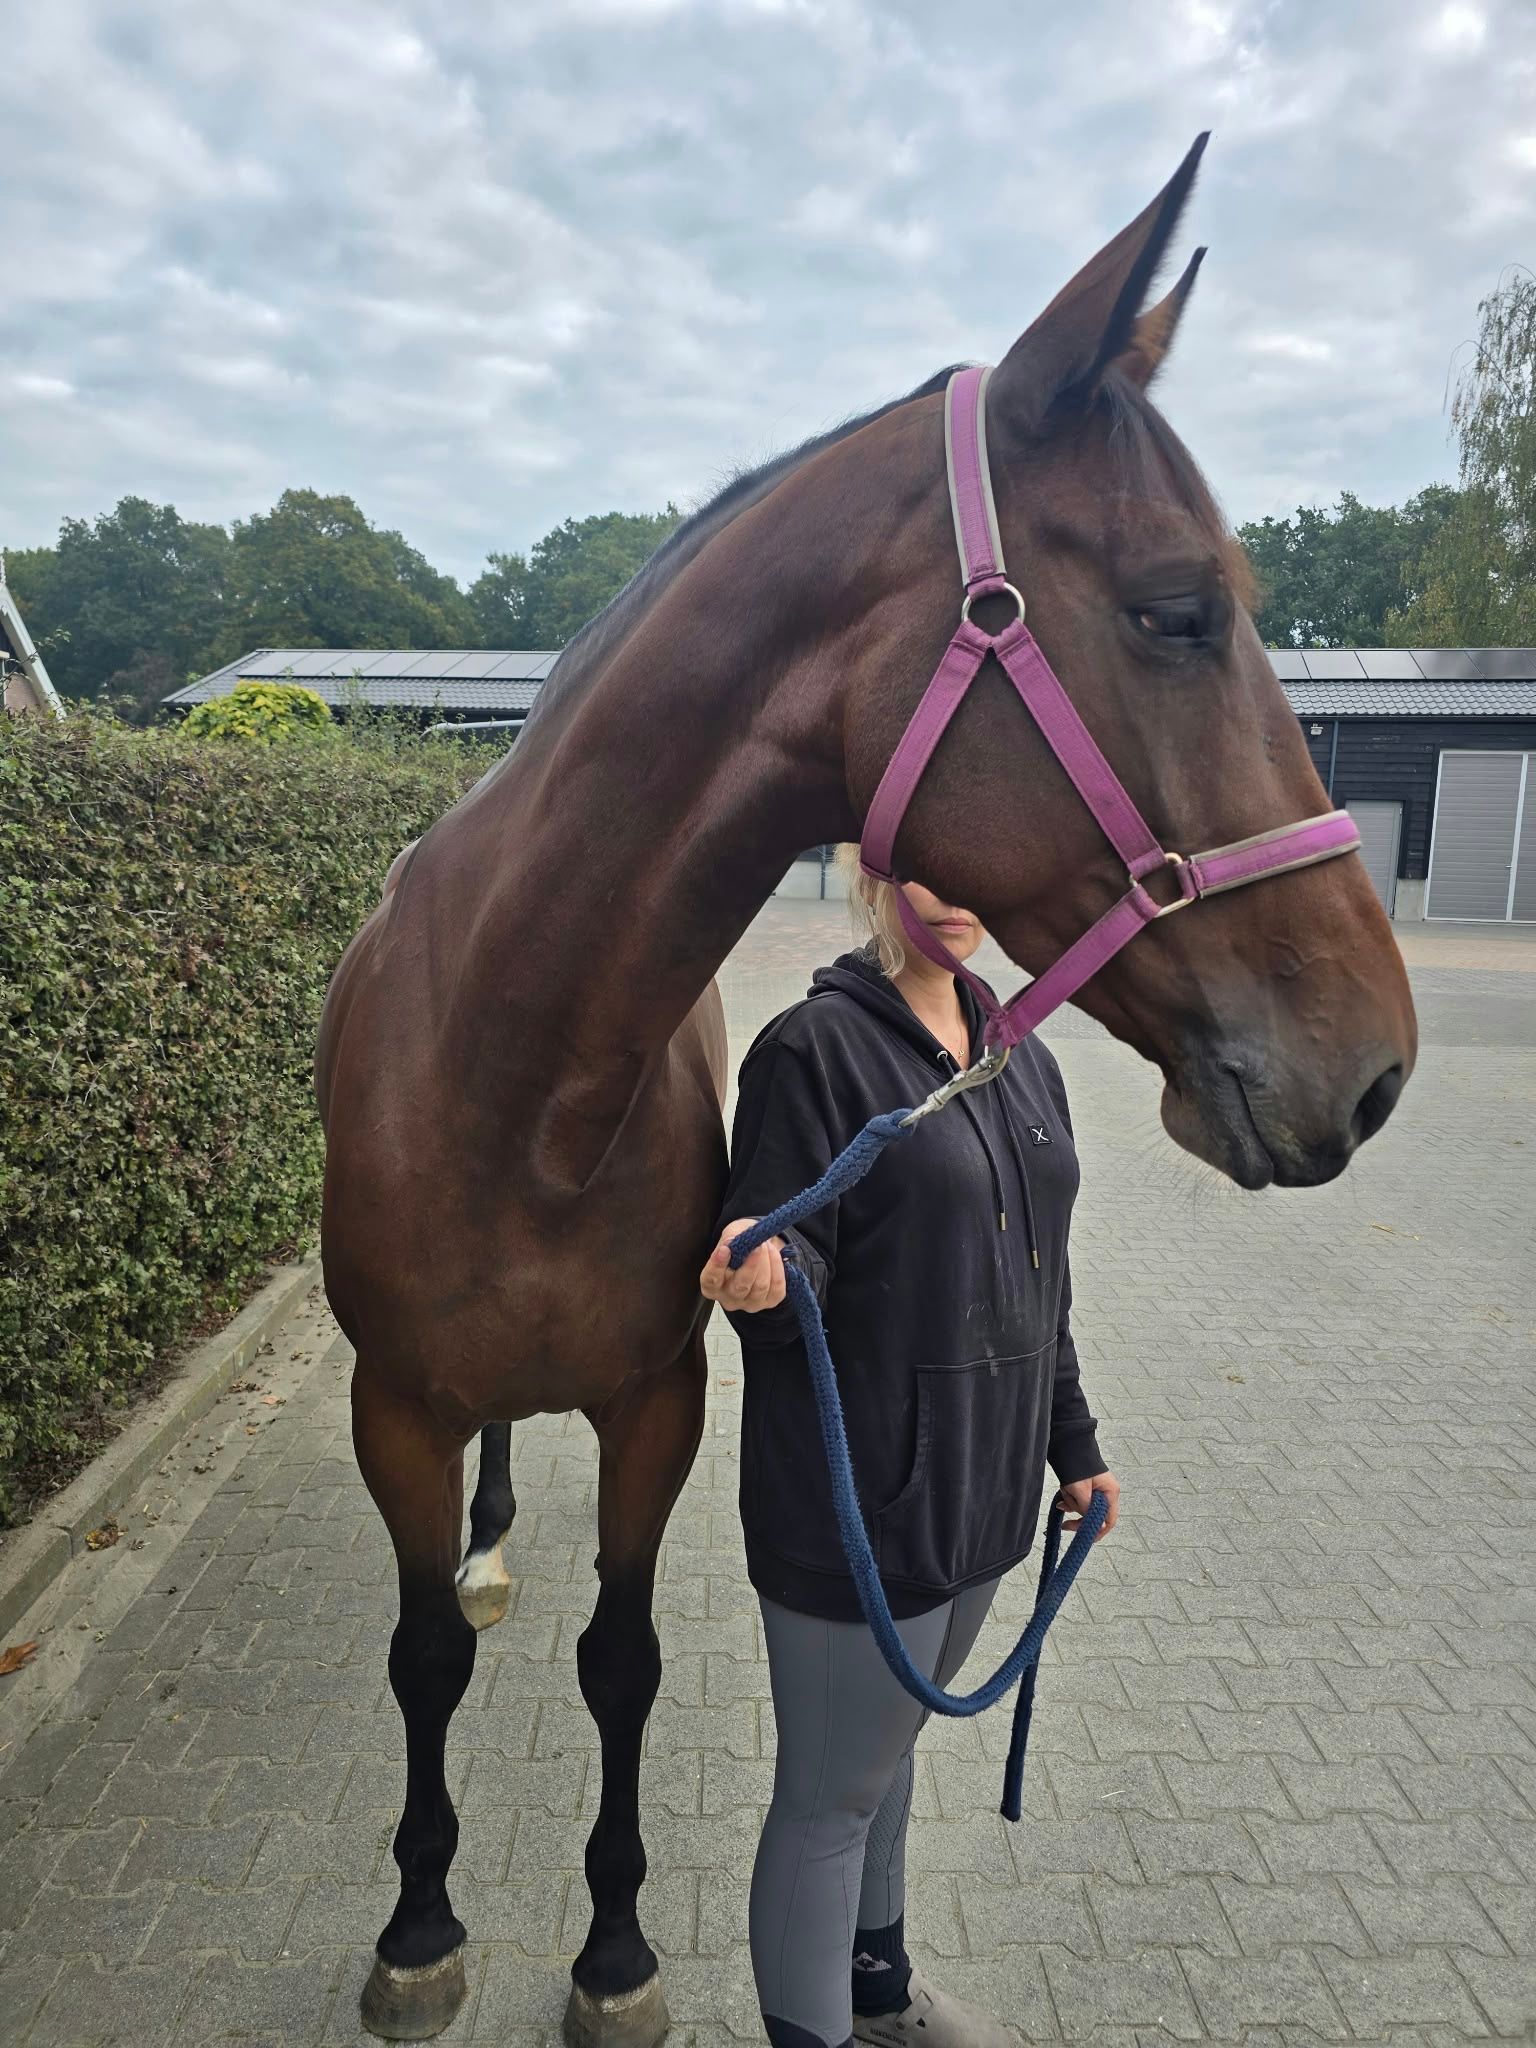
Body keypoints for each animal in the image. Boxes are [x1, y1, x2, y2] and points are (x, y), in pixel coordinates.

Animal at [316, 135, 1416, 2046]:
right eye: (1176, 610)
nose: (1379, 1070)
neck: (511, 1077)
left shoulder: (662, 1400)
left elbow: (623, 1660)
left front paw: (613, 1949)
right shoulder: (396, 1408)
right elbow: (424, 1657)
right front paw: (422, 1920)